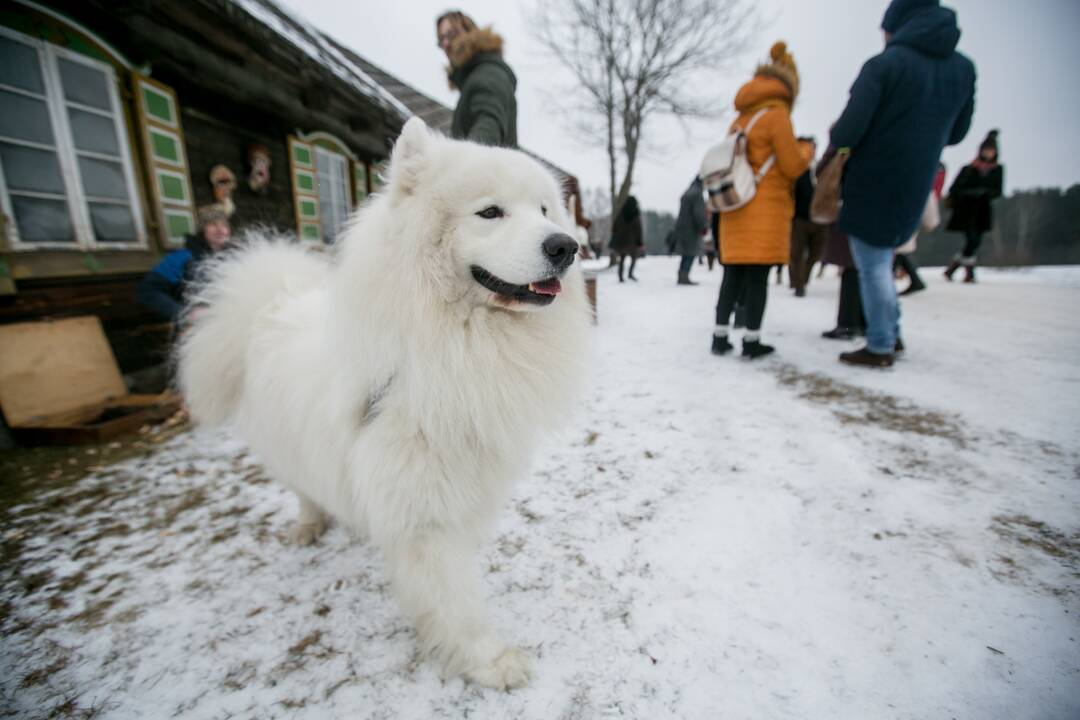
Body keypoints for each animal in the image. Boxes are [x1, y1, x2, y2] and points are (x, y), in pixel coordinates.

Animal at [176, 117, 587, 686]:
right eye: (489, 212)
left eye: (545, 211)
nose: (566, 246)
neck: (456, 344)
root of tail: (270, 303)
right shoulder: (424, 513)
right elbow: (455, 598)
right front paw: (488, 661)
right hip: (287, 452)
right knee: (305, 490)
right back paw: (309, 525)